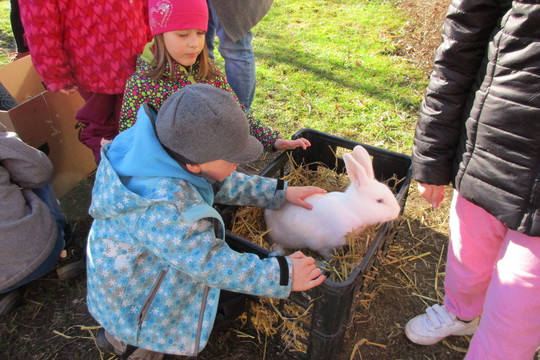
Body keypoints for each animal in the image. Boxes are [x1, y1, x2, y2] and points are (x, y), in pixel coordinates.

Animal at [264, 144, 398, 258]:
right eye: (379, 200)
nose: (397, 212)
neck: (353, 210)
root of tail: (267, 213)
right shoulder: (325, 244)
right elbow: (326, 254)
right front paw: (332, 260)